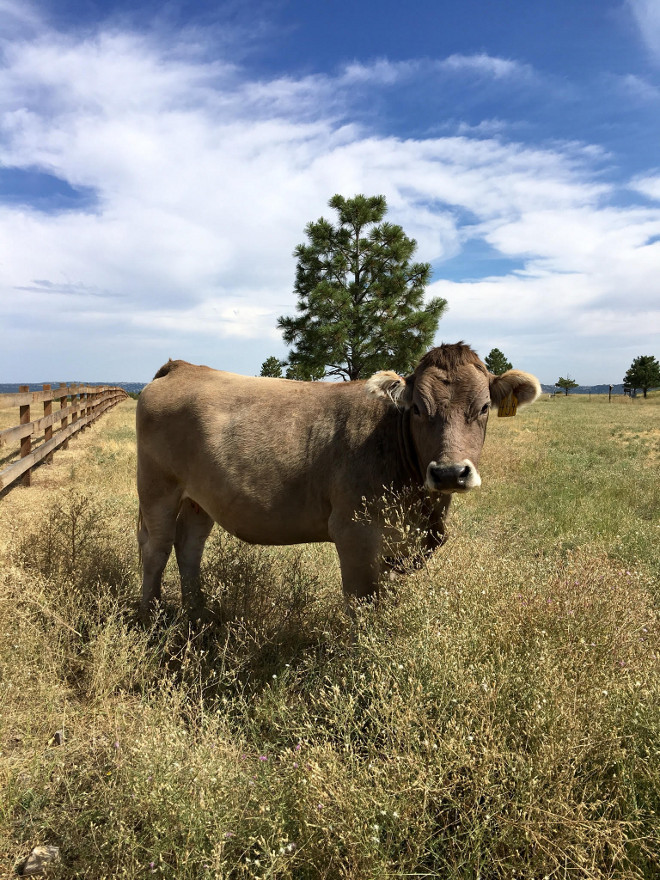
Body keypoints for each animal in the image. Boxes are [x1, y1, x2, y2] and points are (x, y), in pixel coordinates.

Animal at [137, 340, 540, 624]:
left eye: (484, 407)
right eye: (417, 408)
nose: (449, 473)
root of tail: (182, 367)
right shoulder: (355, 535)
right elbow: (362, 609)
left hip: (199, 498)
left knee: (189, 545)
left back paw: (197, 612)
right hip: (157, 487)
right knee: (156, 548)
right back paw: (150, 618)